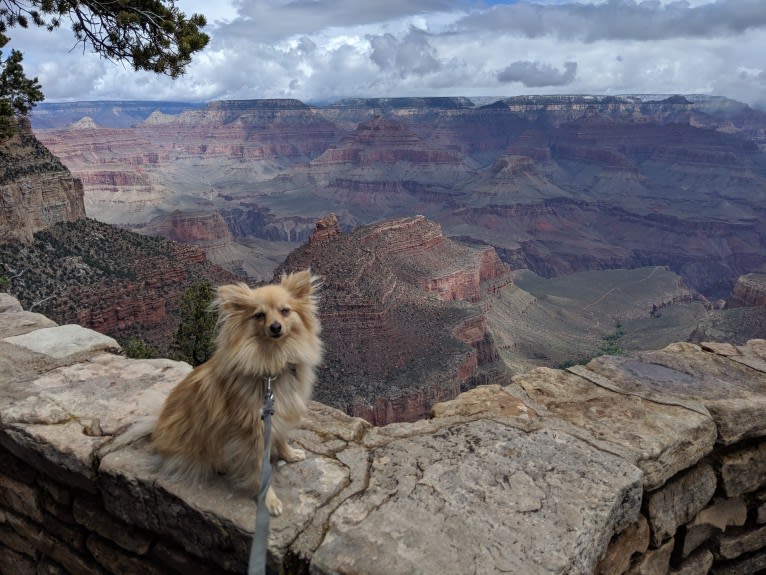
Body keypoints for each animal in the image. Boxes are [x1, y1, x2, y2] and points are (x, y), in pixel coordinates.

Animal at [152, 270, 322, 516]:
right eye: (259, 315)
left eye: (285, 311)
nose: (275, 327)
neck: (272, 363)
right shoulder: (253, 431)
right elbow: (260, 469)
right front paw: (269, 501)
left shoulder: (277, 413)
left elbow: (281, 437)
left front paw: (289, 455)